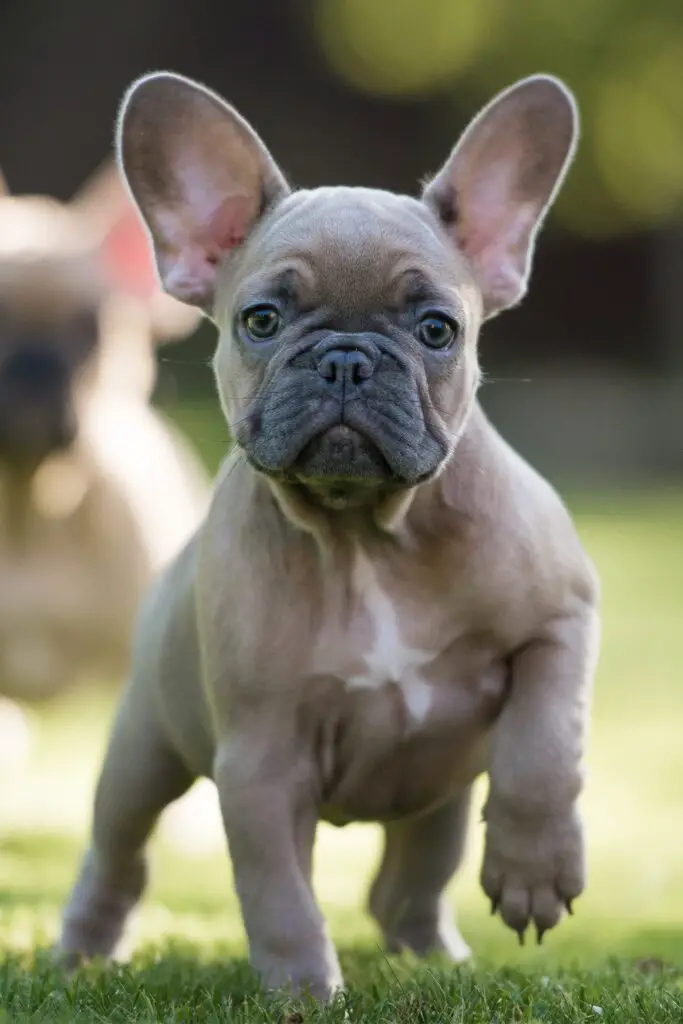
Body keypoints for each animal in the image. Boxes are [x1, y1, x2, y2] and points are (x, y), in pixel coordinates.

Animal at [61, 72, 602, 999]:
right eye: (262, 321)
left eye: (436, 329)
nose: (345, 359)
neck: (365, 534)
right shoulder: (260, 759)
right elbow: (277, 891)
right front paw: (303, 993)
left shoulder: (560, 622)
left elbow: (541, 748)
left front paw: (534, 871)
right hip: (143, 748)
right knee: (118, 850)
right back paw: (82, 949)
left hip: (439, 793)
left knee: (410, 878)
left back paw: (434, 954)